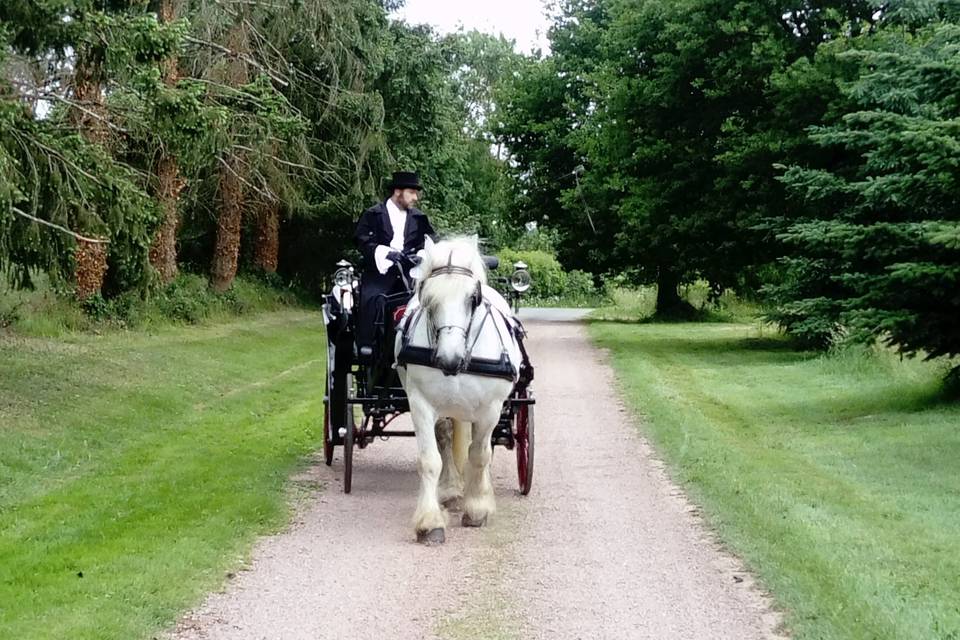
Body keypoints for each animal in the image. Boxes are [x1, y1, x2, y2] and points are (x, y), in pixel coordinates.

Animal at [394, 236, 520, 544]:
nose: (448, 360)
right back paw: (451, 490)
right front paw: (430, 523)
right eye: (427, 299)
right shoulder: (420, 403)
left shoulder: (490, 410)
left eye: (473, 298)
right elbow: (430, 460)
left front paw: (477, 508)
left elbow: (480, 455)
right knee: (446, 436)